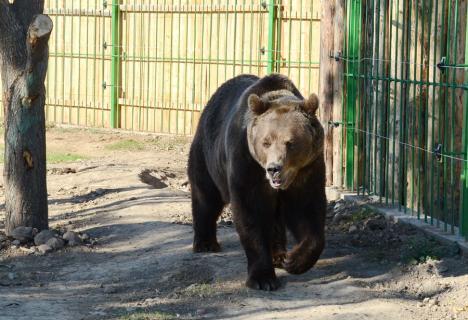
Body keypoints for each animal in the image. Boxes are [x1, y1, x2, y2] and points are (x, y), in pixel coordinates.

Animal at [186, 74, 326, 292]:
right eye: (266, 141)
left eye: (290, 142)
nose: (274, 168)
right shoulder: (246, 163)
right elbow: (250, 212)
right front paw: (263, 278)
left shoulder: (308, 169)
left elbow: (307, 211)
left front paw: (294, 261)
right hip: (207, 155)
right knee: (206, 197)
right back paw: (205, 243)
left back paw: (279, 255)